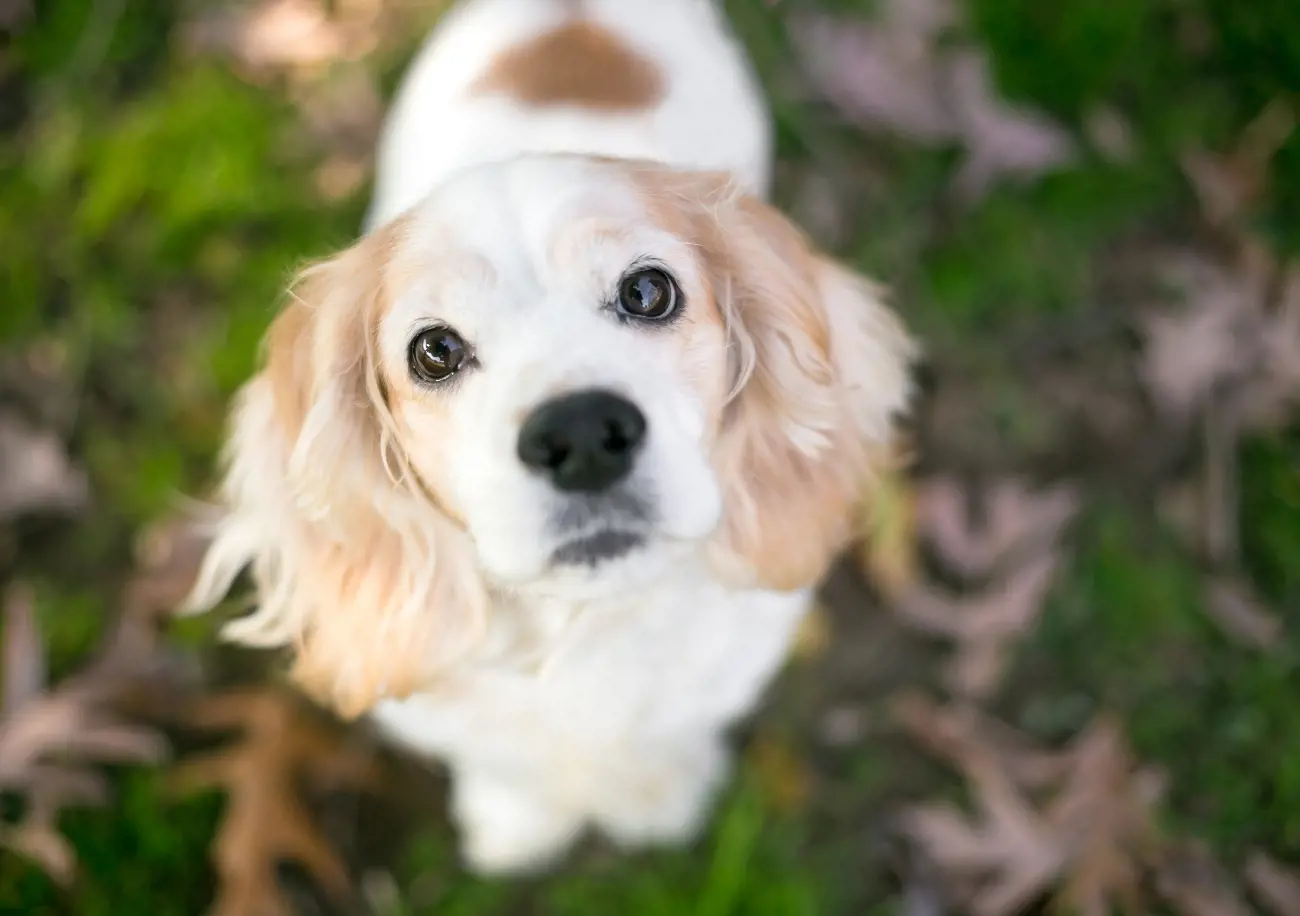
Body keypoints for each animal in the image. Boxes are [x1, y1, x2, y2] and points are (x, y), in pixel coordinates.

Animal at [185, 0, 915, 873]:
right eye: (434, 350)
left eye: (648, 290)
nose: (583, 434)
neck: (584, 620)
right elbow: (507, 764)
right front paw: (516, 823)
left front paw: (654, 794)